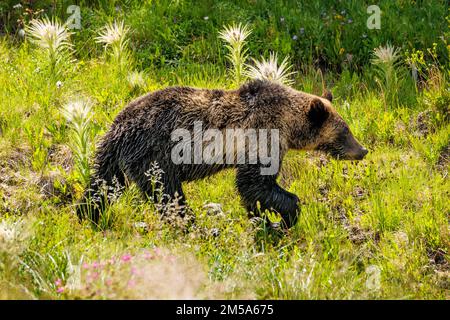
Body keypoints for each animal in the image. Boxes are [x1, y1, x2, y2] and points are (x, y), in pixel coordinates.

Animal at [76, 79, 366, 228]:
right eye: (344, 132)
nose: (362, 150)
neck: (286, 124)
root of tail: (118, 125)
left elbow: (253, 192)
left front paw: (262, 218)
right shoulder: (260, 137)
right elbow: (256, 184)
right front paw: (286, 215)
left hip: (112, 156)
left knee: (101, 184)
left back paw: (87, 214)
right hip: (155, 155)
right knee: (167, 194)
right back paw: (191, 225)